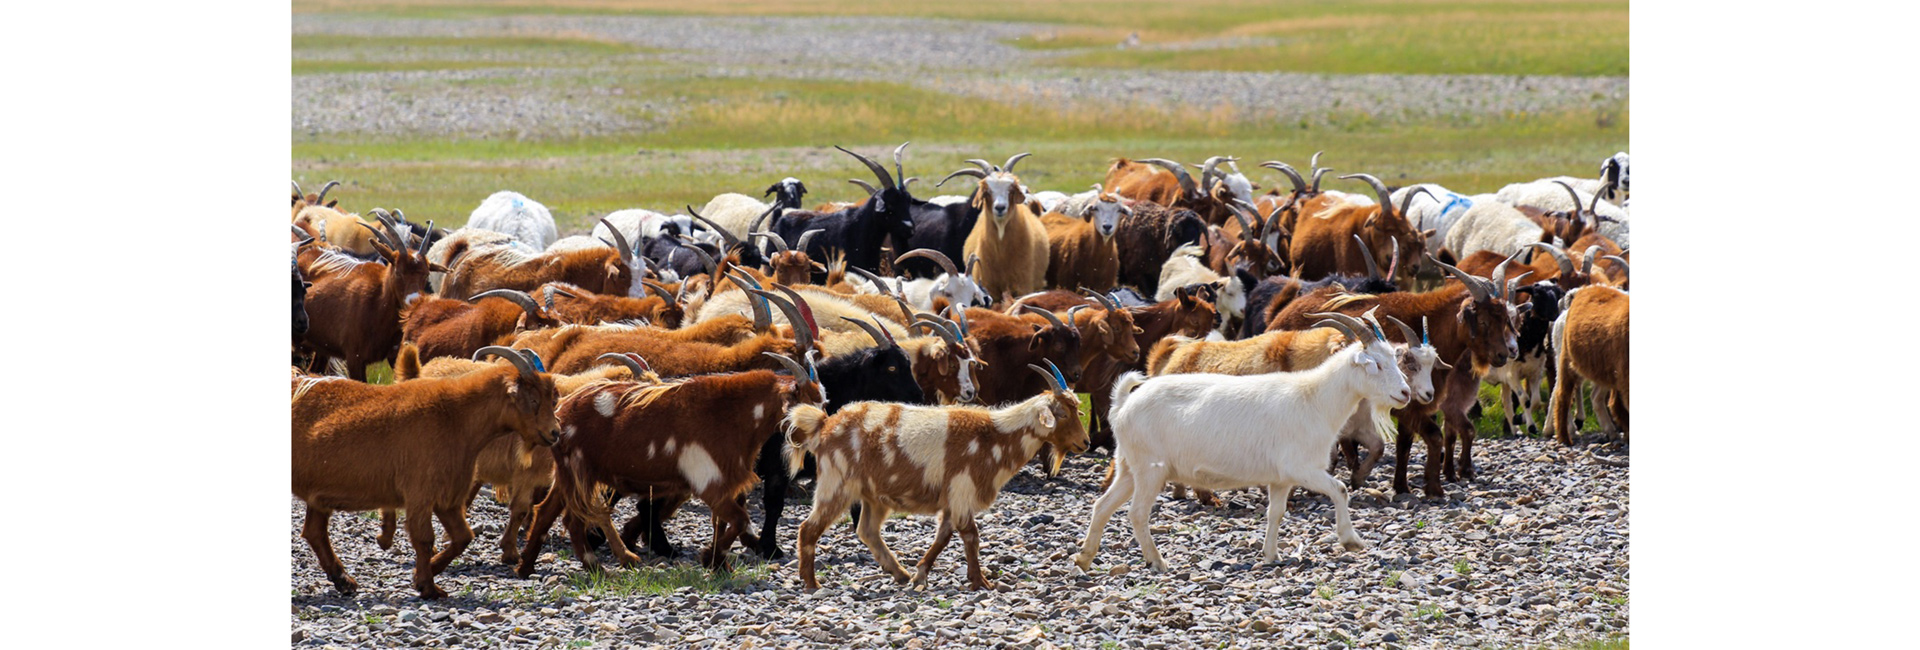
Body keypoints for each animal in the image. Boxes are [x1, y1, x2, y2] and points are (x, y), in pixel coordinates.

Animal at [291, 350, 560, 602]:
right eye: (533, 399)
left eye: (552, 399)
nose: (555, 432)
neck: (456, 417)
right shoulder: (420, 493)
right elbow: (424, 539)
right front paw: (429, 587)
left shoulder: (447, 498)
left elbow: (464, 536)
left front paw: (427, 573)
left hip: (319, 497)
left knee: (314, 532)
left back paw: (343, 580)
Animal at [779, 362, 1082, 590]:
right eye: (1062, 413)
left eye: (1077, 409)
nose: (1085, 443)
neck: (995, 436)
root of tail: (824, 424)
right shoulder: (962, 491)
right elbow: (970, 536)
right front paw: (980, 582)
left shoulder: (951, 500)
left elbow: (943, 538)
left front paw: (920, 574)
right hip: (836, 484)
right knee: (809, 528)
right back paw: (811, 583)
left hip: (873, 495)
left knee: (867, 530)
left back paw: (899, 574)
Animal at [1075, 318, 1420, 571]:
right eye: (1376, 364)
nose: (1405, 393)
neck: (1314, 399)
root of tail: (1123, 404)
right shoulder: (1302, 468)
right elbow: (1341, 489)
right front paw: (1351, 541)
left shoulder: (1281, 479)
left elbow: (1275, 513)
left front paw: (1271, 555)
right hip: (1150, 468)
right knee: (1137, 513)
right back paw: (1157, 561)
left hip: (1129, 466)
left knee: (1102, 505)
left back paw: (1084, 558)